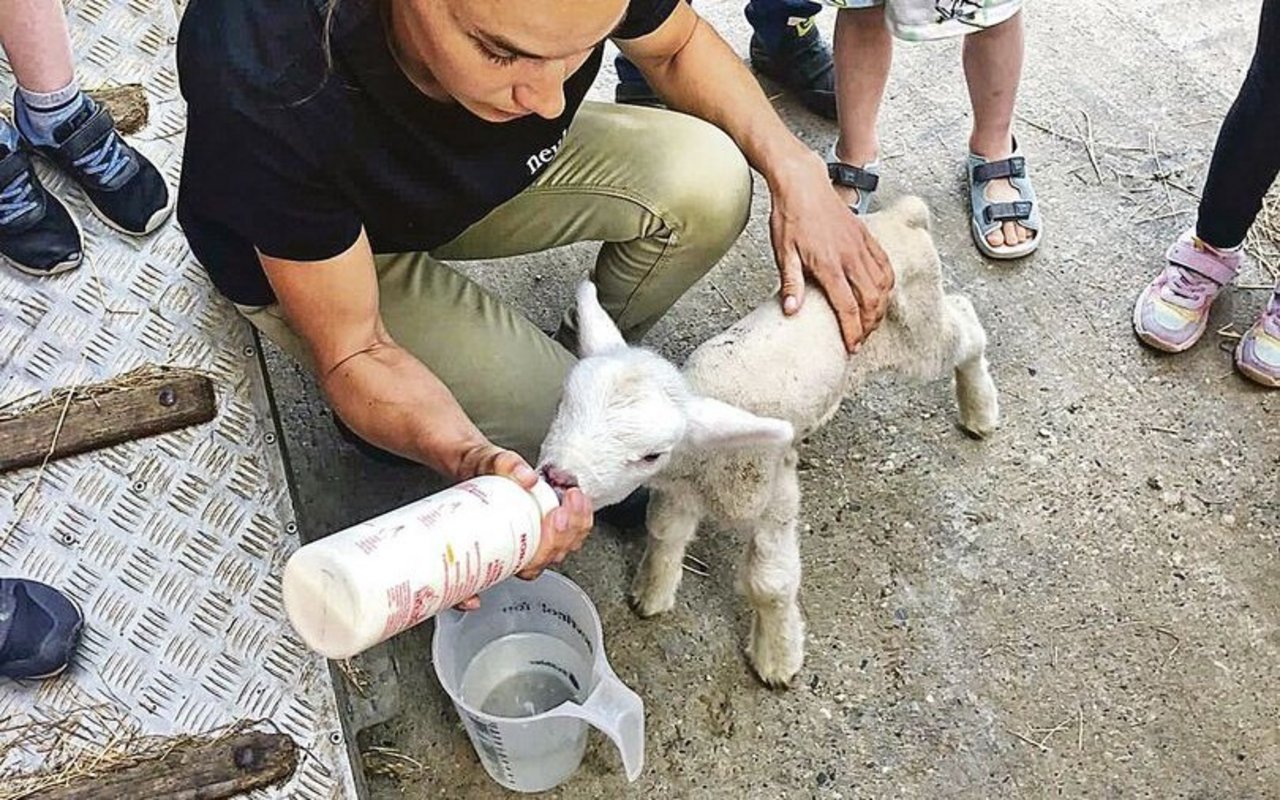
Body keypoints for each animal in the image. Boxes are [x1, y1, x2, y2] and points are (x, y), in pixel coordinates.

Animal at [535, 197, 993, 680]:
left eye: (650, 454)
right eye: (563, 400)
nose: (557, 477)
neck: (697, 465)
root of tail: (901, 216)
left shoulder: (775, 491)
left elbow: (770, 583)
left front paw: (777, 658)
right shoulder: (679, 492)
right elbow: (664, 532)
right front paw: (652, 593)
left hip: (919, 332)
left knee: (965, 325)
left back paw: (980, 410)